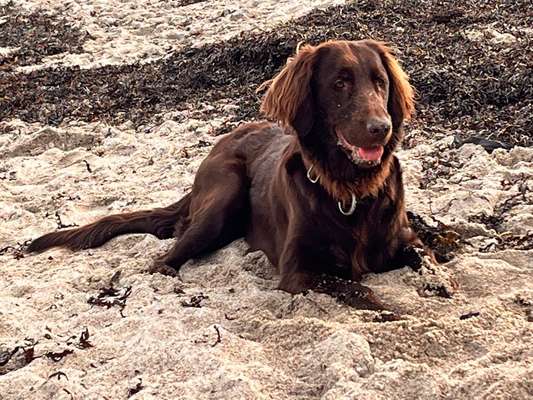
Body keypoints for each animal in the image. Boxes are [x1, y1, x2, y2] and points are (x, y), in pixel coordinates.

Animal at [28, 39, 428, 310]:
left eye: (380, 82)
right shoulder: (299, 270)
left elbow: (426, 262)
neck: (349, 191)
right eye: (340, 83)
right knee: (163, 258)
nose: (381, 128)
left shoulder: (404, 239)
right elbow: (360, 290)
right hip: (225, 194)